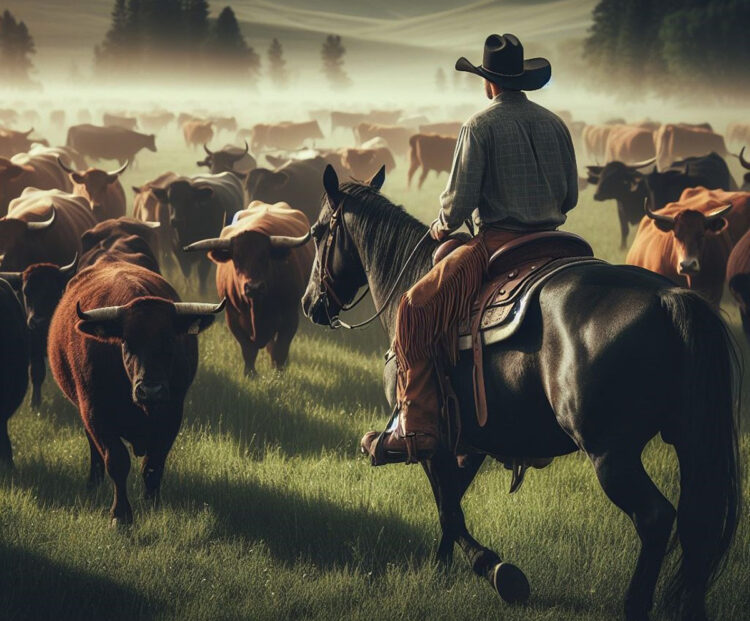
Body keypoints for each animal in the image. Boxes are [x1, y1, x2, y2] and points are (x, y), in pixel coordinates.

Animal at [46, 262, 222, 524]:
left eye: (170, 341)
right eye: (127, 342)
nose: (151, 390)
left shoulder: (172, 414)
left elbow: (153, 465)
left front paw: (153, 505)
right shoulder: (95, 412)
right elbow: (117, 462)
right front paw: (121, 515)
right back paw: (94, 483)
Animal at [185, 201, 314, 372]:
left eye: (265, 257)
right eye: (237, 259)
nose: (254, 287)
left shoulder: (290, 317)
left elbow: (280, 350)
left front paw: (278, 372)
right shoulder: (232, 317)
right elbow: (248, 350)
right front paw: (250, 373)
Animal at [302, 165, 744, 620]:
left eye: (317, 232)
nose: (310, 303)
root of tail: (670, 298)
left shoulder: (431, 439)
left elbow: (448, 508)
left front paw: (496, 570)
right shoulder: (471, 441)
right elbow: (452, 501)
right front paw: (442, 569)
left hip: (611, 454)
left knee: (655, 518)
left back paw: (635, 604)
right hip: (689, 441)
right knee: (698, 524)